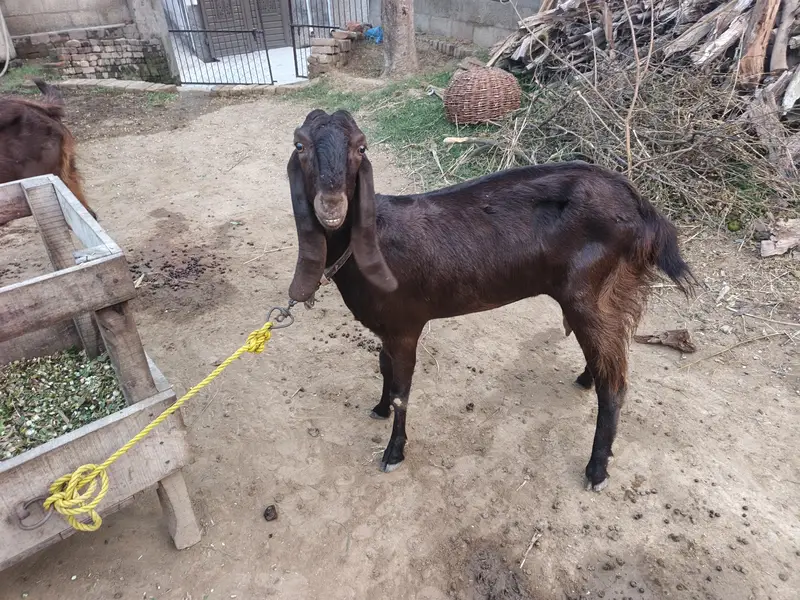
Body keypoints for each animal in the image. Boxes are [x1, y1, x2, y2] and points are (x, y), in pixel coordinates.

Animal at [286, 109, 694, 491]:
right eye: (300, 145)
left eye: (361, 146)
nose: (332, 206)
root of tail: (643, 210)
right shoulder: (386, 328)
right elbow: (384, 368)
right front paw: (380, 408)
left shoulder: (405, 326)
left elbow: (403, 390)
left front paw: (394, 452)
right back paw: (585, 379)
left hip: (593, 295)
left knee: (615, 383)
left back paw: (596, 470)